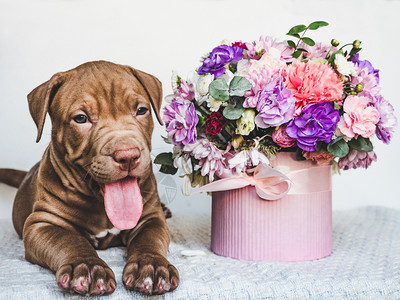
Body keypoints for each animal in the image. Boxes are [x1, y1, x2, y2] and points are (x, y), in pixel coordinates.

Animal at [0, 61, 179, 296]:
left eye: (141, 110)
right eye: (81, 119)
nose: (128, 155)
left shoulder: (150, 218)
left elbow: (149, 238)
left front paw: (151, 265)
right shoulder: (42, 223)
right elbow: (68, 240)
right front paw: (87, 266)